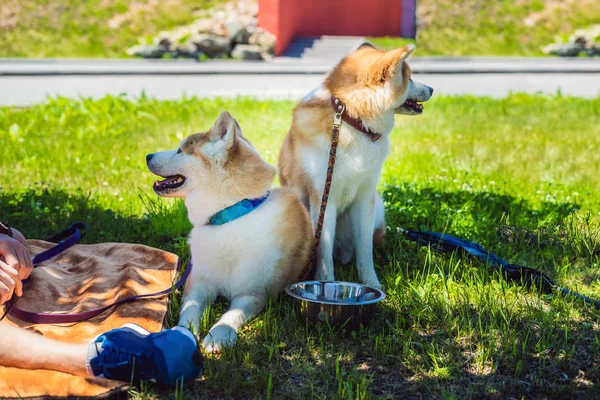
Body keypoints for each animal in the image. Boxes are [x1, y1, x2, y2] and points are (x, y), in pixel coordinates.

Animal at [147, 111, 312, 352]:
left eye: (180, 150)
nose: (147, 156)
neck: (228, 218)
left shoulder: (252, 294)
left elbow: (232, 314)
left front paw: (219, 335)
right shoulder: (197, 285)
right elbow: (189, 312)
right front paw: (181, 334)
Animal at [278, 43, 434, 288]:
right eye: (408, 77)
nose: (432, 88)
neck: (352, 122)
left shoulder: (364, 197)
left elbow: (364, 249)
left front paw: (371, 283)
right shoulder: (323, 198)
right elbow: (324, 249)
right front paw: (325, 283)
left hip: (377, 206)